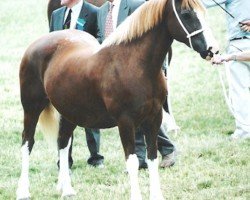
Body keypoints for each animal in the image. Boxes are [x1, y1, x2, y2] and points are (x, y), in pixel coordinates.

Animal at [16, 0, 218, 199]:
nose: (212, 50)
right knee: (27, 143)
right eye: (186, 14)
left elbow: (152, 158)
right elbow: (132, 162)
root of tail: (35, 45)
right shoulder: (126, 122)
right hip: (32, 108)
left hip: (69, 112)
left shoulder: (154, 118)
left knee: (63, 143)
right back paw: (23, 191)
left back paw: (67, 190)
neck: (135, 64)